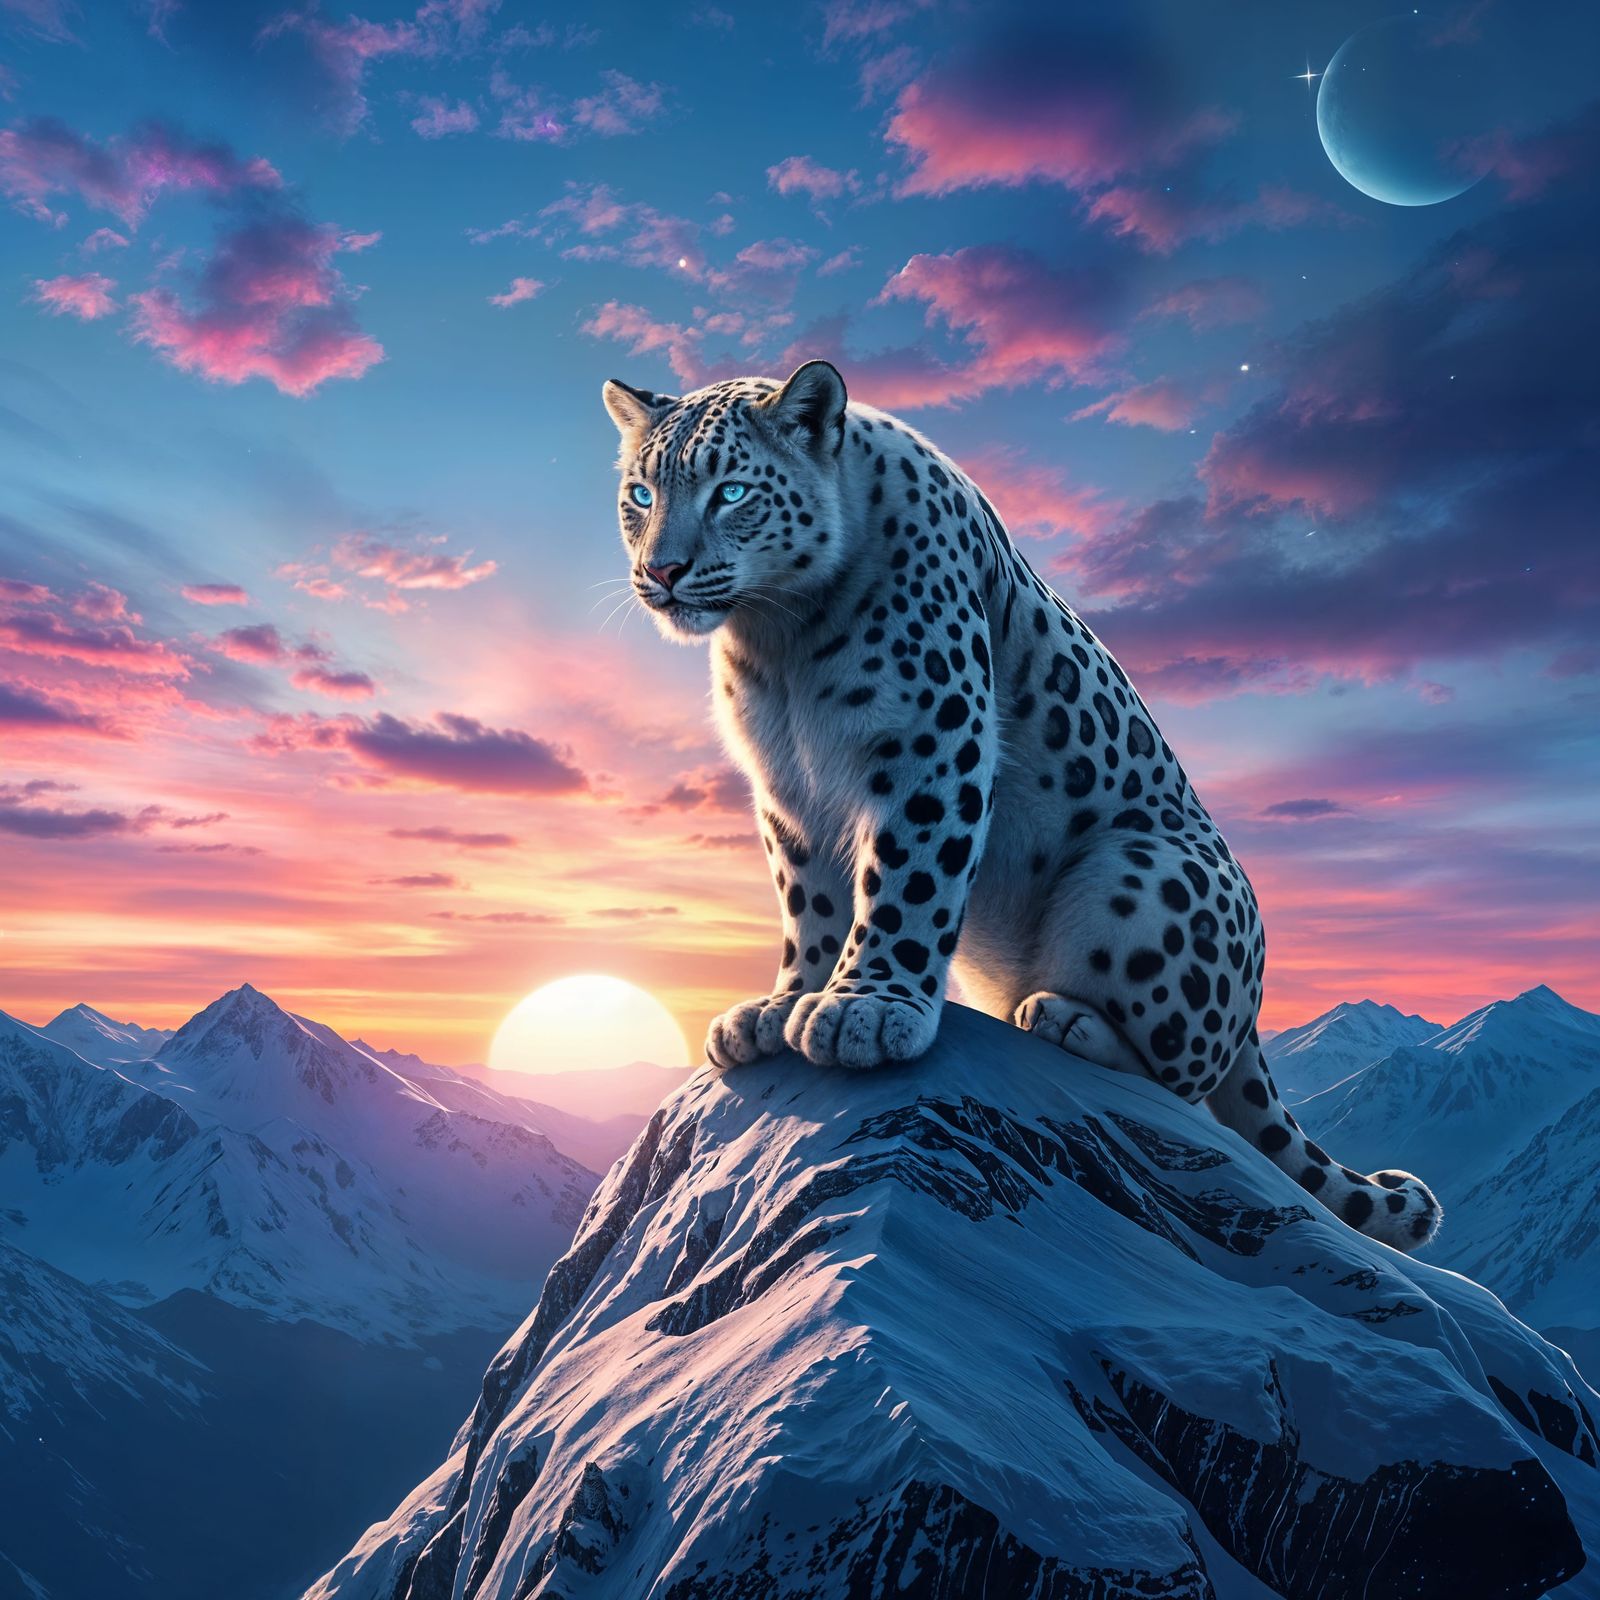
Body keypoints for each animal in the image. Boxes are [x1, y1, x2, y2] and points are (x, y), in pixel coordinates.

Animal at [602, 360, 1441, 1252]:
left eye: (731, 491)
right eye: (642, 494)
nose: (663, 572)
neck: (777, 636)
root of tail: (1250, 1010)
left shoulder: (930, 737)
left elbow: (908, 881)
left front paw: (864, 1011)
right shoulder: (787, 788)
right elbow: (809, 903)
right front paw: (785, 1004)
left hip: (1140, 876)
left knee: (1186, 1081)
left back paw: (1066, 1020)